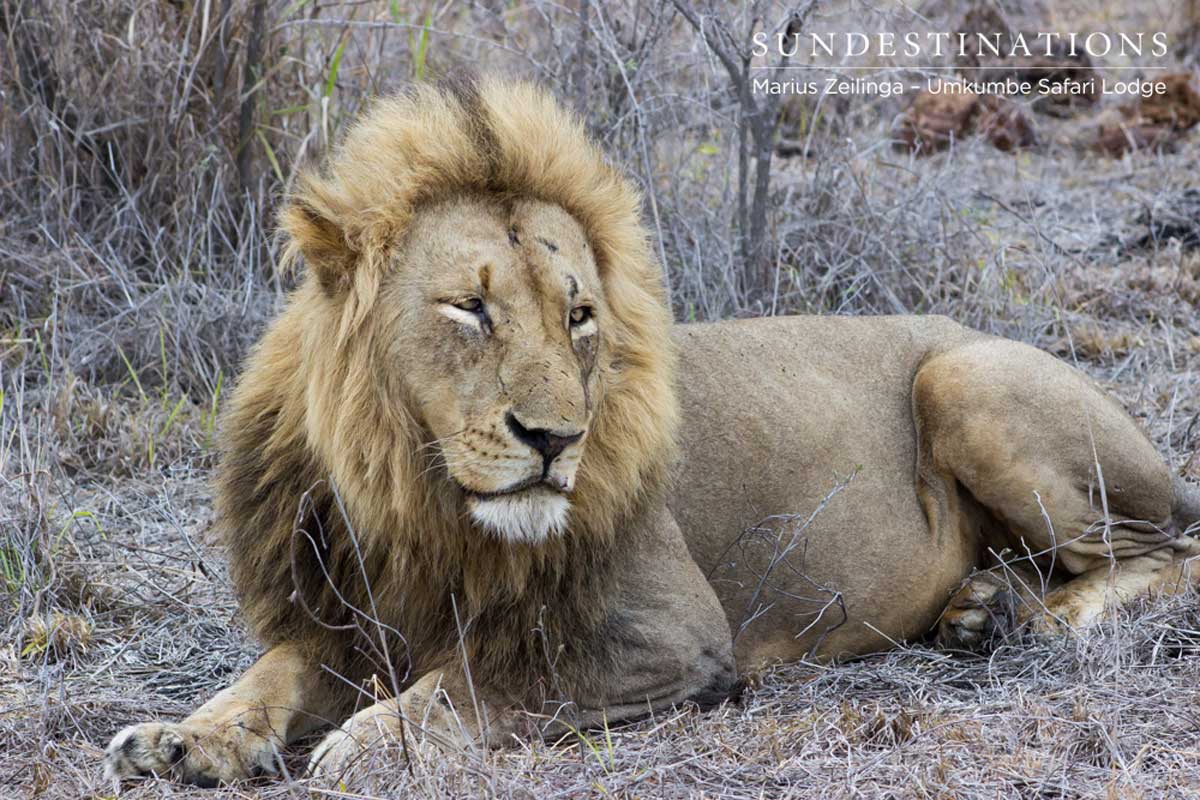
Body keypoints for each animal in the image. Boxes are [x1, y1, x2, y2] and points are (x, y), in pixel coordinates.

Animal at [103, 76, 1200, 786]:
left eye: (580, 315)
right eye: (471, 308)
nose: (555, 439)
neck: (413, 499)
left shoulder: (673, 635)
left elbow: (474, 682)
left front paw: (370, 743)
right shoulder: (341, 617)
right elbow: (266, 675)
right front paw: (181, 737)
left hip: (965, 377)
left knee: (1169, 548)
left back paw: (1039, 618)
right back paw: (982, 608)